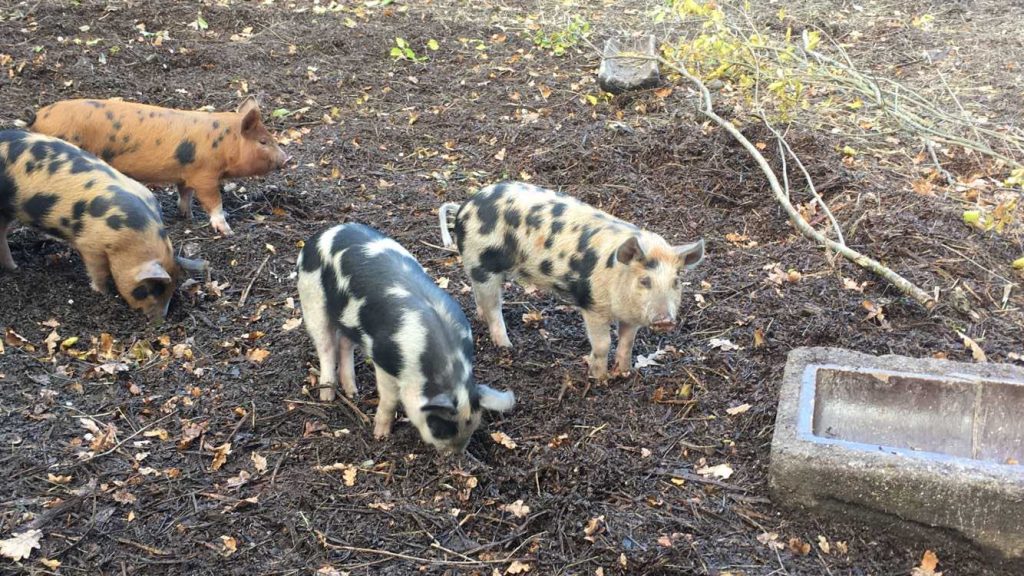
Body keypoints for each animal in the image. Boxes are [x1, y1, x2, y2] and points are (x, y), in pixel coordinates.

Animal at [0, 129, 197, 317]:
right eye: (151, 290)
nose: (159, 321)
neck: (128, 236)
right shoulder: (90, 245)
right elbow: (98, 271)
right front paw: (103, 292)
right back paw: (15, 268)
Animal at [299, 222, 516, 450]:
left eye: (472, 426)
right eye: (440, 428)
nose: (454, 454)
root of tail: (323, 234)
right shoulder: (384, 361)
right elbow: (390, 399)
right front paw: (380, 436)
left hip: (348, 317)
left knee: (344, 344)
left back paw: (353, 392)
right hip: (311, 298)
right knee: (326, 347)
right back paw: (327, 397)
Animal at [440, 182, 704, 381]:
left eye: (676, 281)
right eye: (644, 280)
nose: (665, 320)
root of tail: (464, 207)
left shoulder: (631, 317)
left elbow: (627, 343)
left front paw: (625, 373)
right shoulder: (593, 305)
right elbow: (603, 344)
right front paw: (600, 379)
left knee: (481, 298)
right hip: (482, 263)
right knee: (493, 308)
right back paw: (507, 347)